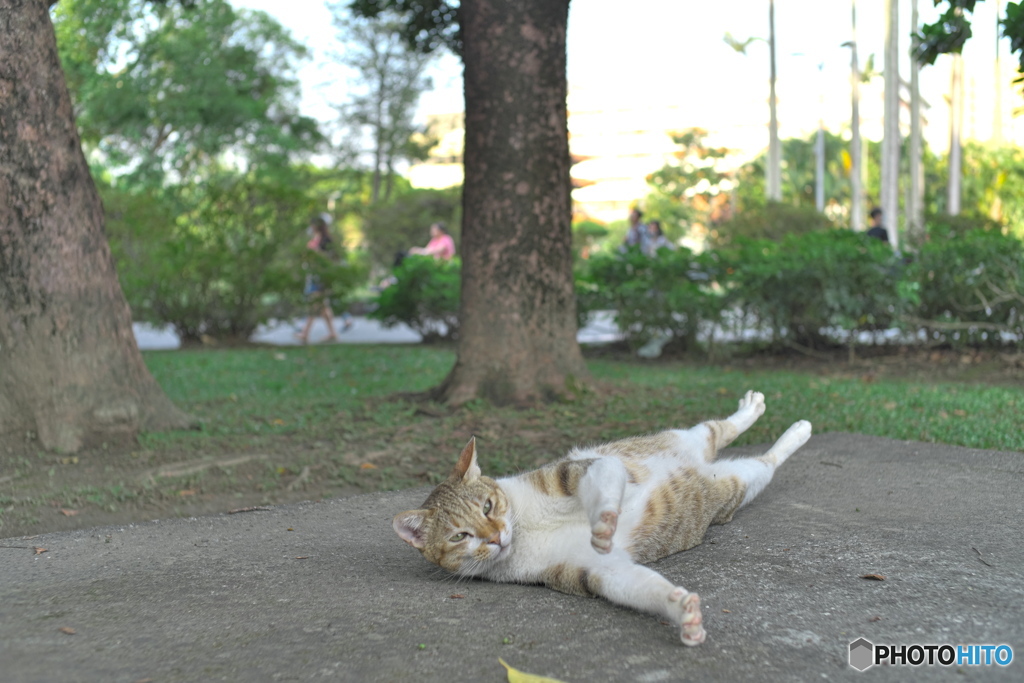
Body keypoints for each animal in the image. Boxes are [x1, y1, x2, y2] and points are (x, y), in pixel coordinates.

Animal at [395, 389, 811, 647]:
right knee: (762, 460)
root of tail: (701, 463)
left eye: (487, 506)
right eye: (459, 536)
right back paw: (791, 433)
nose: (496, 536)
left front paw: (604, 522)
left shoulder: (578, 471)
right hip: (737, 482)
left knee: (721, 429)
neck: (525, 529)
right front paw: (683, 613)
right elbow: (639, 586)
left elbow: (605, 486)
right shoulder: (592, 571)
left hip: (685, 438)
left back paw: (780, 420)